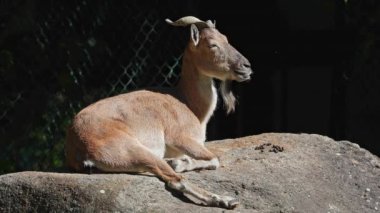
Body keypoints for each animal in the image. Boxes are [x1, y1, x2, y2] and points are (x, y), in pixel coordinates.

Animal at [66, 15, 252, 209]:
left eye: (226, 39)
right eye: (212, 44)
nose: (246, 66)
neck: (189, 103)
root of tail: (78, 147)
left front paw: (178, 161)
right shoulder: (181, 138)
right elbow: (214, 159)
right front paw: (178, 162)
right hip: (133, 150)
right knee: (176, 181)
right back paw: (226, 199)